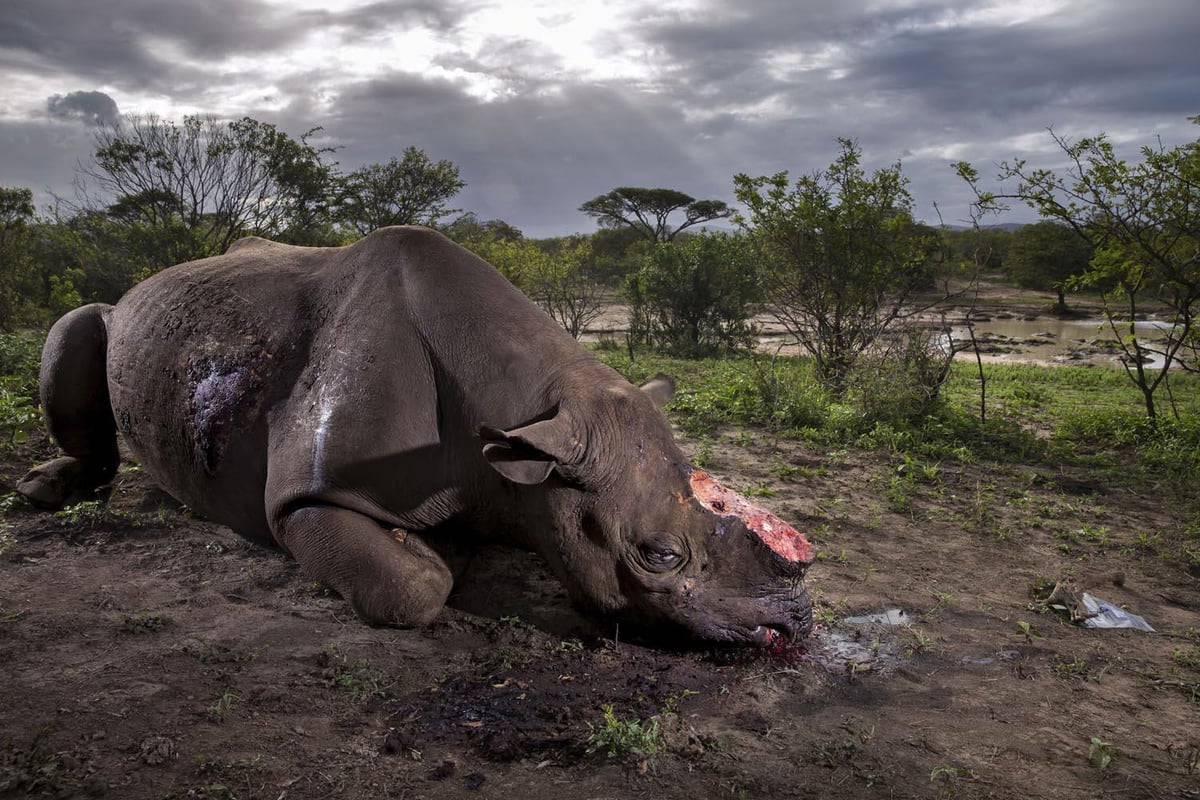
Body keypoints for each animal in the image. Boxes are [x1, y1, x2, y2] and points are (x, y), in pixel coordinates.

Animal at [19, 226, 814, 646]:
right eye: (658, 556)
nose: (791, 625)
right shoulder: (308, 496)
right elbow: (411, 588)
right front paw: (435, 555)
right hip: (122, 319)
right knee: (78, 324)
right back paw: (44, 492)